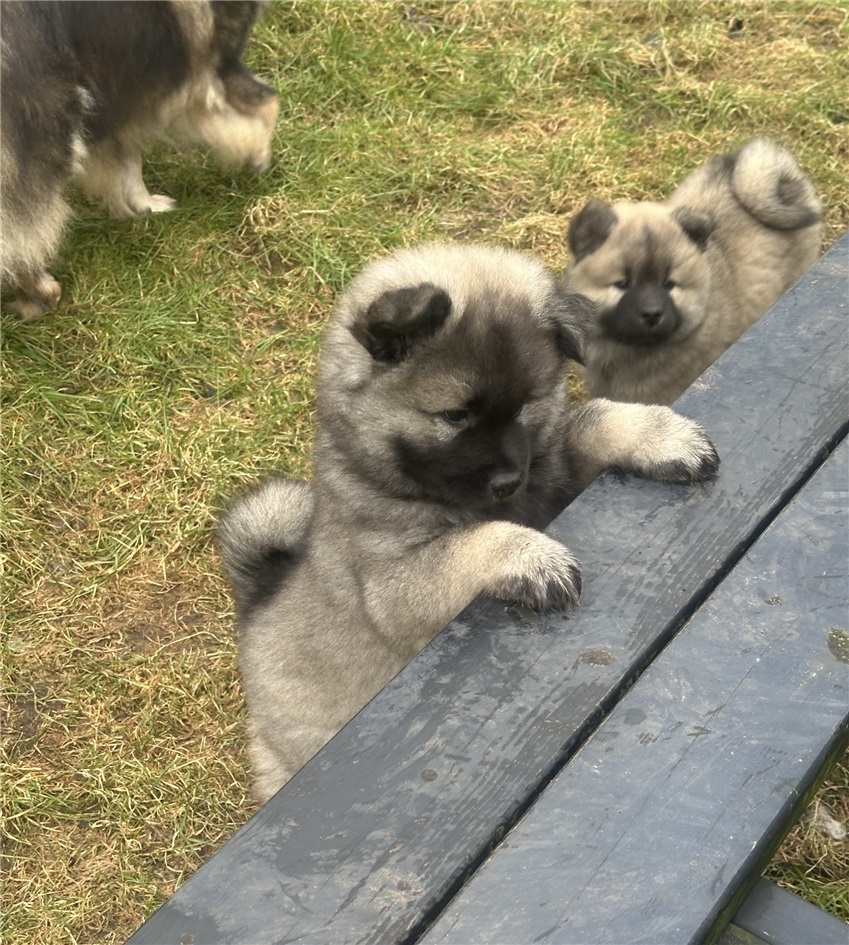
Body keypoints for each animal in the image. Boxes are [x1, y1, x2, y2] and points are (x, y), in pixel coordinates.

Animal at [0, 0, 278, 320]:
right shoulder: (206, 65)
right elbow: (266, 105)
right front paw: (257, 159)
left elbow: (125, 159)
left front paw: (141, 207)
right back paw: (40, 295)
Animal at [218, 243, 720, 803]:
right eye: (455, 416)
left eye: (526, 405)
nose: (507, 480)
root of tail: (257, 601)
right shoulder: (394, 587)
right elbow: (469, 544)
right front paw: (531, 557)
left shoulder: (552, 480)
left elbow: (592, 419)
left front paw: (662, 435)